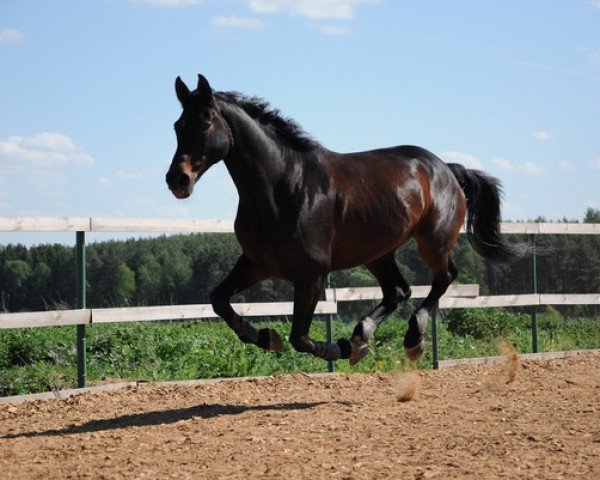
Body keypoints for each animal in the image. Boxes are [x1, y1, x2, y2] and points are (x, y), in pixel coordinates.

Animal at [165, 74, 536, 364]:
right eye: (178, 125)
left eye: (207, 121)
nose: (177, 180)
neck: (283, 187)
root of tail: (446, 168)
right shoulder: (258, 263)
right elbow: (219, 299)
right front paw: (265, 337)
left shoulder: (311, 274)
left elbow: (300, 337)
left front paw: (341, 348)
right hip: (378, 253)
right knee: (398, 291)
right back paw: (363, 334)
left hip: (433, 240)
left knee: (443, 277)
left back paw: (411, 338)